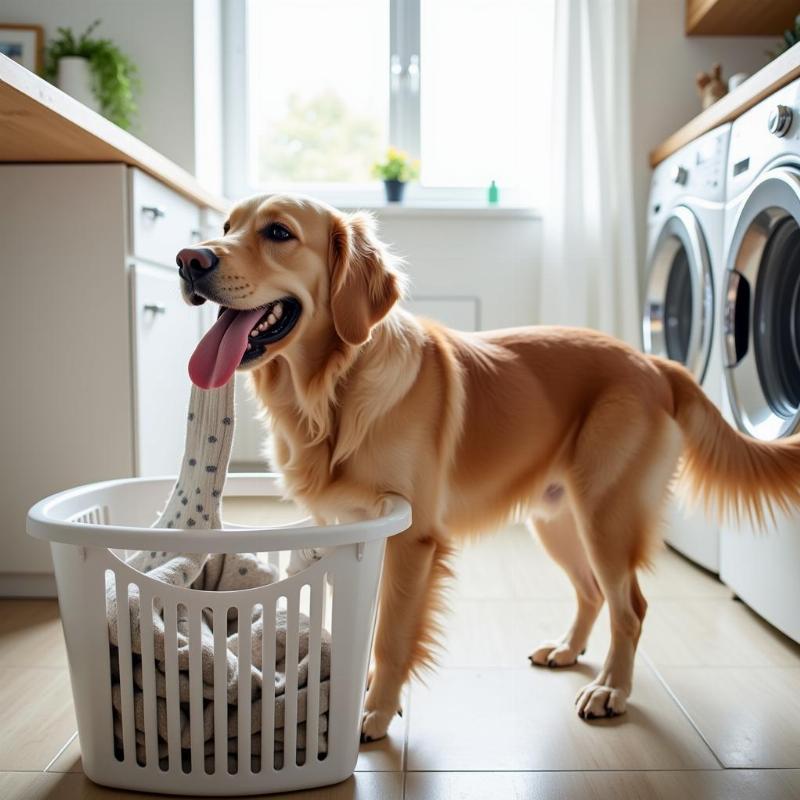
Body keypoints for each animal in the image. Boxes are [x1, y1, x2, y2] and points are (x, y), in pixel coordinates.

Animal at [178, 197, 800, 740]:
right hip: (556, 519)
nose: (189, 259)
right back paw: (567, 649)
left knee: (632, 606)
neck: (334, 389)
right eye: (227, 225)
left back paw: (611, 690)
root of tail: (652, 362)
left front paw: (374, 713)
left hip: (606, 514)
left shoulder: (412, 540)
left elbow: (391, 635)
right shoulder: (350, 529)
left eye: (278, 232)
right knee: (592, 592)